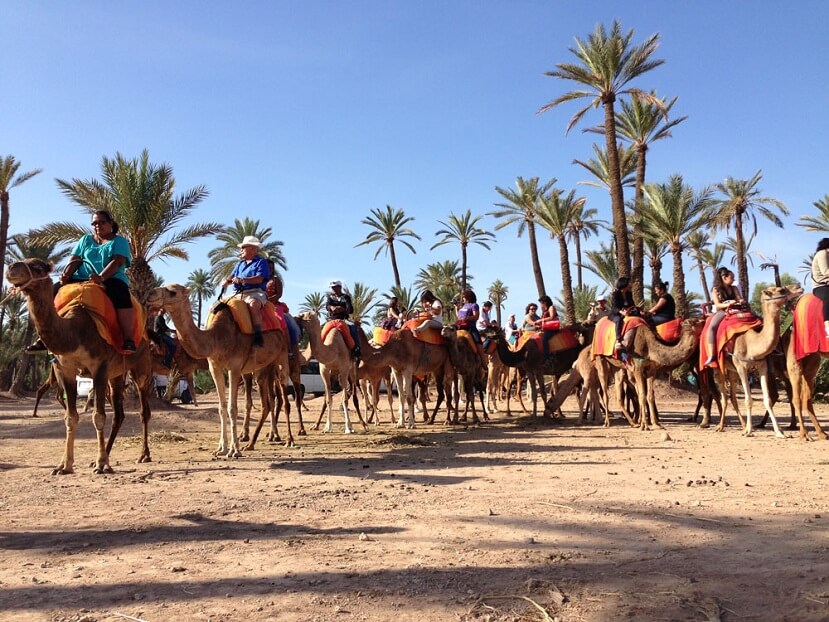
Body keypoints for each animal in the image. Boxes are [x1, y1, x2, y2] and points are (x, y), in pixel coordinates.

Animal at [6, 258, 154, 478]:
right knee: (118, 414)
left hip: (141, 366)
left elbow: (98, 416)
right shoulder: (63, 369)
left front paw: (101, 465)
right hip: (116, 374)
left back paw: (143, 455)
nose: (11, 269)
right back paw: (104, 456)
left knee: (144, 410)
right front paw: (64, 466)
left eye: (38, 268)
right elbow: (70, 417)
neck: (74, 332)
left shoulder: (100, 367)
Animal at [146, 286, 292, 458]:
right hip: (264, 366)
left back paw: (288, 440)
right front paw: (221, 448)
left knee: (284, 397)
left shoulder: (234, 368)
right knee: (268, 401)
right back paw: (259, 441)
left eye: (173, 292)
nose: (151, 294)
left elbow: (232, 408)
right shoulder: (214, 367)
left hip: (282, 356)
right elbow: (222, 407)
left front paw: (234, 450)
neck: (217, 337)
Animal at [704, 286, 804, 436]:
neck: (751, 343)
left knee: (733, 396)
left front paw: (779, 432)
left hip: (733, 370)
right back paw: (721, 426)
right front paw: (749, 431)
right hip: (719, 367)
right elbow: (748, 400)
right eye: (781, 290)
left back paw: (742, 425)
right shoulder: (742, 367)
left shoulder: (762, 365)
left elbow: (768, 399)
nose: (799, 287)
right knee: (724, 396)